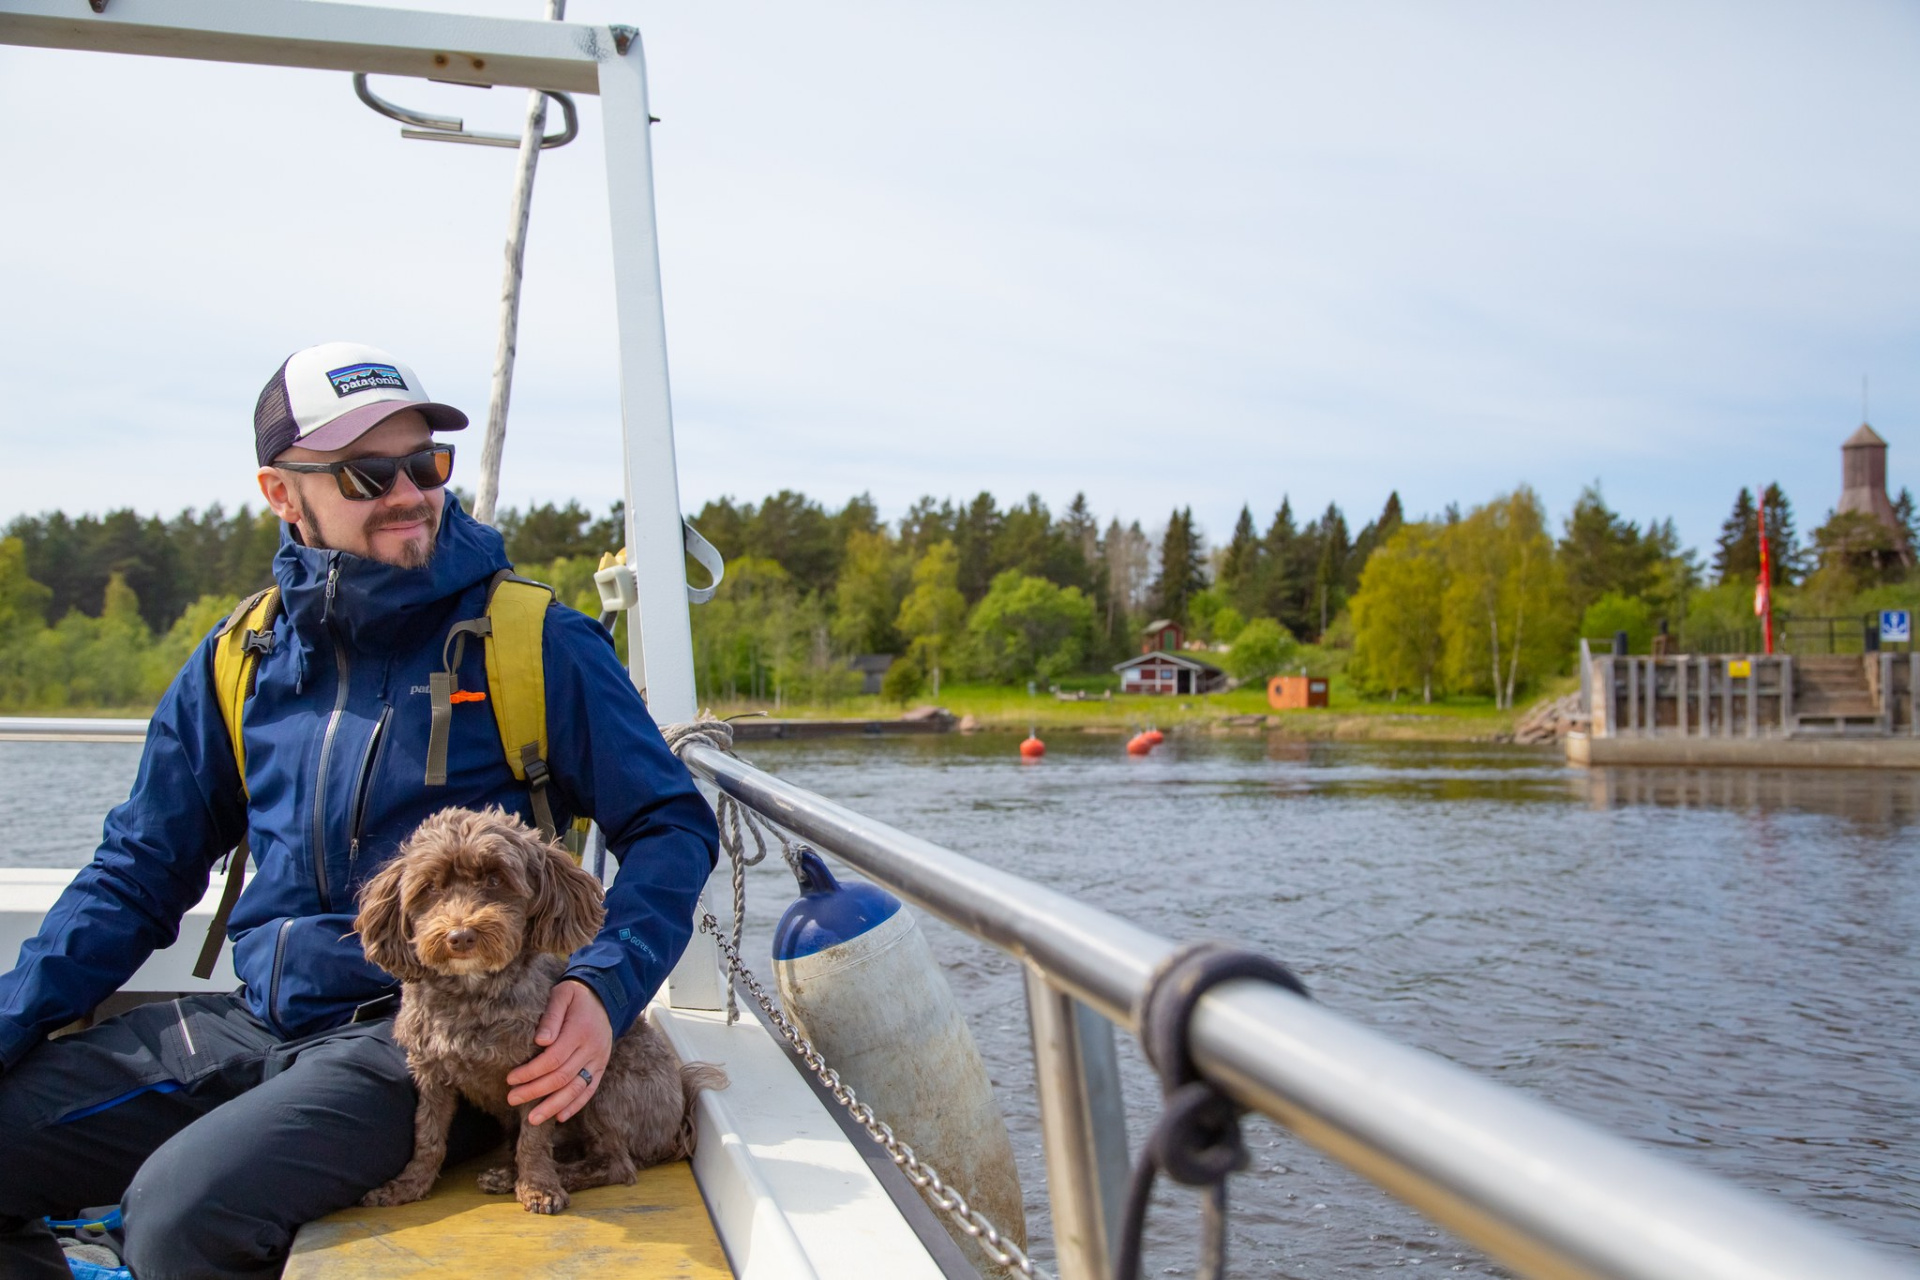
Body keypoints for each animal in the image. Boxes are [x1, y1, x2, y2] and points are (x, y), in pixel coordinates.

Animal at [355, 805, 725, 1220]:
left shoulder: (543, 1074)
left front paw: (539, 1187)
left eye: (496, 879)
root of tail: (676, 1126)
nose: (460, 936)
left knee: (617, 1164)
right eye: (430, 888)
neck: (471, 994)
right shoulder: (431, 1073)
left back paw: (542, 1176)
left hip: (605, 1086)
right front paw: (408, 1185)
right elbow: (428, 1135)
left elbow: (533, 1138)